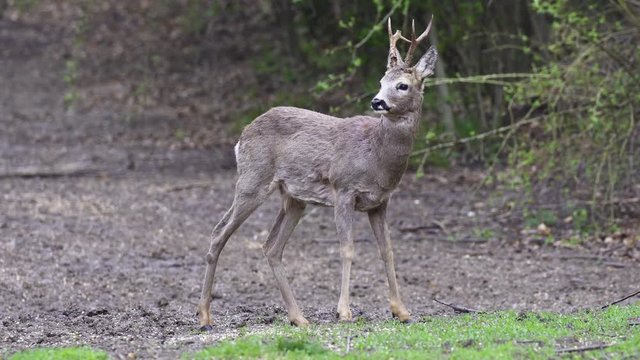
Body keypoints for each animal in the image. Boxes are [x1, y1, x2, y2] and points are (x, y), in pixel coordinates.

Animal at [196, 16, 436, 330]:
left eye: (403, 85)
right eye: (381, 82)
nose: (377, 102)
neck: (376, 157)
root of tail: (242, 136)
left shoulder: (380, 201)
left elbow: (388, 250)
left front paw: (402, 311)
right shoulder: (343, 189)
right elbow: (347, 248)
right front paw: (344, 312)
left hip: (293, 198)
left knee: (271, 246)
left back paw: (299, 318)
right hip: (252, 179)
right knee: (218, 232)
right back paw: (204, 315)